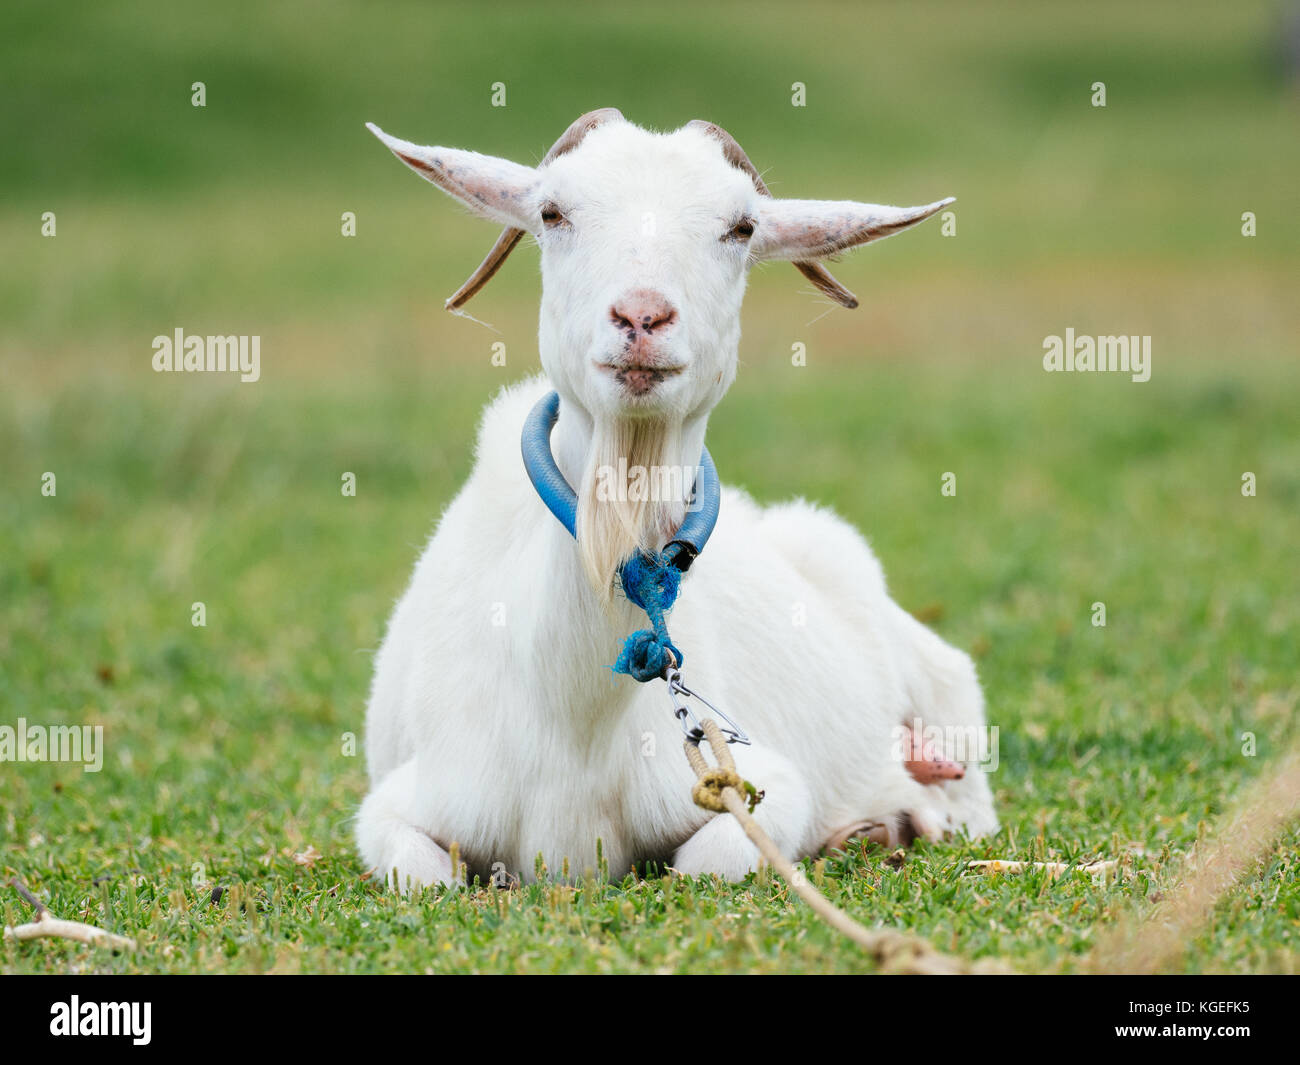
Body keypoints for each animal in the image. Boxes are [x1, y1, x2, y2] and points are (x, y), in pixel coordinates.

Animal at [356, 110, 993, 889]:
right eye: (552, 211)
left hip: (937, 684)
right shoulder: (407, 800)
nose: (641, 316)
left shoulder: (762, 782)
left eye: (742, 228)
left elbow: (708, 863)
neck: (574, 718)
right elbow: (419, 871)